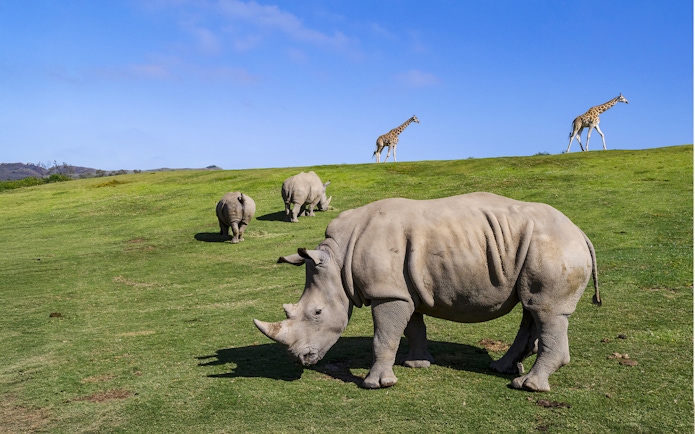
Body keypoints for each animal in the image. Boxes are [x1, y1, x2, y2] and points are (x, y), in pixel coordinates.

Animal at [254, 192, 601, 392]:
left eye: (317, 313)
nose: (301, 359)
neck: (338, 259)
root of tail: (580, 232)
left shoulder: (388, 292)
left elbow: (384, 336)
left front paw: (375, 384)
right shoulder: (401, 290)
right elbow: (412, 328)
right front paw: (417, 364)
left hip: (555, 246)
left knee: (546, 310)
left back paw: (528, 386)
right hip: (534, 246)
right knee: (531, 307)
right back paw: (502, 369)